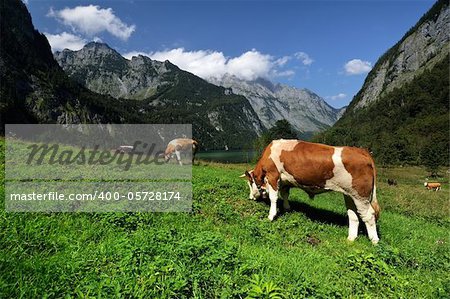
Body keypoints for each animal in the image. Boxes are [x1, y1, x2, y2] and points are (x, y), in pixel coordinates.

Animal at [241, 139, 382, 245]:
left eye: (250, 183)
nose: (250, 198)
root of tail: (361, 150)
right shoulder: (284, 181)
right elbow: (285, 194)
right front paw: (287, 208)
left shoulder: (273, 175)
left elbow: (273, 198)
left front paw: (271, 216)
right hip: (349, 194)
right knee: (353, 215)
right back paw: (351, 238)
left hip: (361, 195)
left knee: (369, 215)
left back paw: (374, 241)